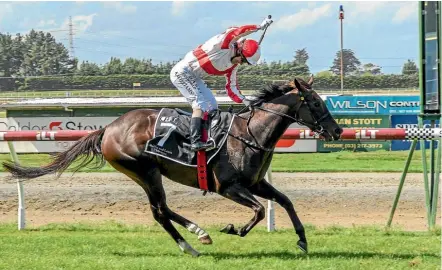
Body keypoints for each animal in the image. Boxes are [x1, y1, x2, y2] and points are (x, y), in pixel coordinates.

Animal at [2, 76, 342, 258]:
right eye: (315, 103)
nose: (337, 131)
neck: (249, 134)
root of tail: (109, 127)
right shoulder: (228, 187)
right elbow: (258, 211)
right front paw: (234, 228)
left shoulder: (256, 183)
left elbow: (286, 201)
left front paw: (302, 240)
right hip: (145, 170)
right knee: (160, 211)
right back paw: (194, 239)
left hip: (145, 174)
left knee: (161, 210)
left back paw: (196, 237)